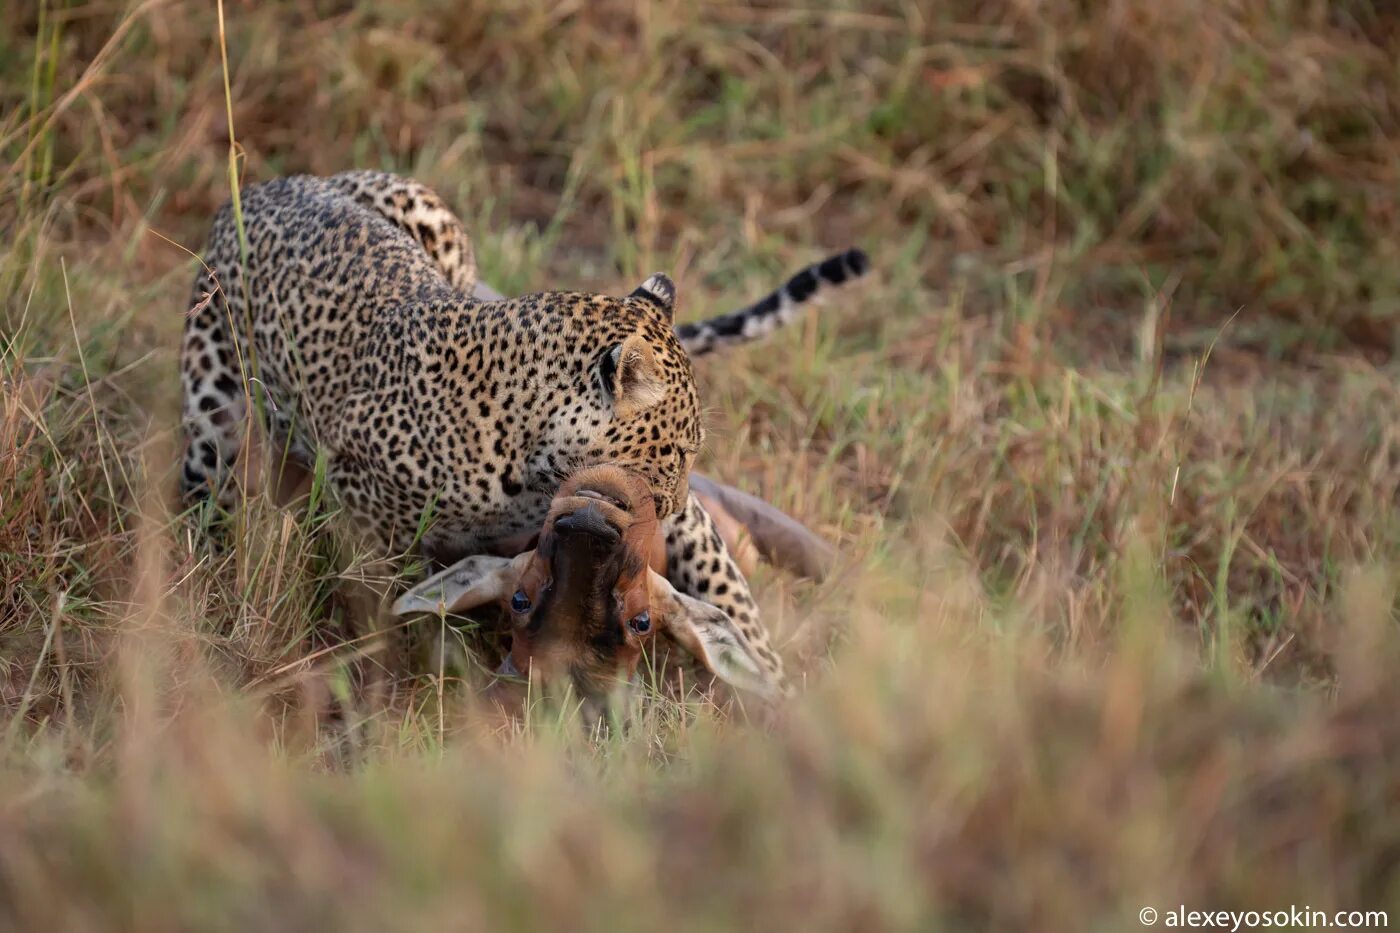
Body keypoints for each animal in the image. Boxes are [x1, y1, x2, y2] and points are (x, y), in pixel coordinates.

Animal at [180, 168, 868, 689]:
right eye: (677, 449)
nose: (674, 503)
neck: (530, 469)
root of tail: (268, 184)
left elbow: (729, 593)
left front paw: (772, 677)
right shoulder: (366, 509)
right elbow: (393, 598)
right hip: (212, 404)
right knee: (205, 490)